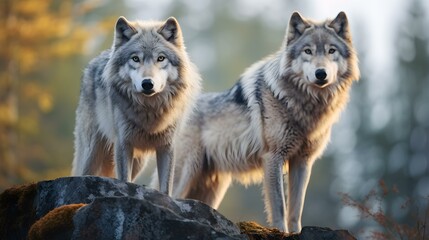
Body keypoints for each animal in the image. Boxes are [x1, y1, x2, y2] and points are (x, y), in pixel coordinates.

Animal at [72, 16, 201, 195]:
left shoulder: (167, 147)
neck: (150, 111)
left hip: (139, 162)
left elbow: (165, 188)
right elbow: (124, 180)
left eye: (160, 58)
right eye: (135, 58)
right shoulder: (123, 143)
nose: (147, 83)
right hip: (93, 150)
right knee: (83, 174)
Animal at [162, 12, 360, 232]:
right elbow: (280, 208)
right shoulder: (273, 157)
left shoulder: (303, 161)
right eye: (308, 51)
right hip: (186, 173)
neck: (305, 105)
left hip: (211, 188)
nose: (321, 73)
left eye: (331, 50)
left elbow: (295, 211)